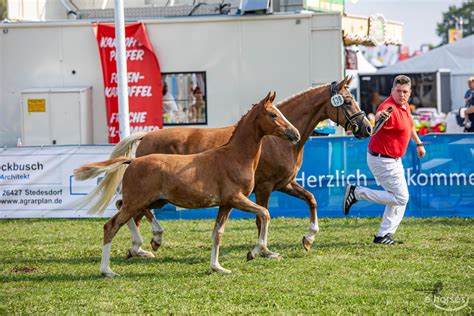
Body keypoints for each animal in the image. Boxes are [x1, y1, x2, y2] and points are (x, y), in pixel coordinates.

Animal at [74, 92, 300, 276]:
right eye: (273, 114)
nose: (295, 134)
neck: (235, 157)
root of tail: (133, 161)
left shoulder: (225, 204)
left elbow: (217, 233)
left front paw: (217, 267)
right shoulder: (236, 198)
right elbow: (264, 213)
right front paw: (255, 252)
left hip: (153, 201)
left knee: (121, 208)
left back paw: (146, 243)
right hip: (138, 201)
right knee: (111, 226)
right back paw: (108, 270)